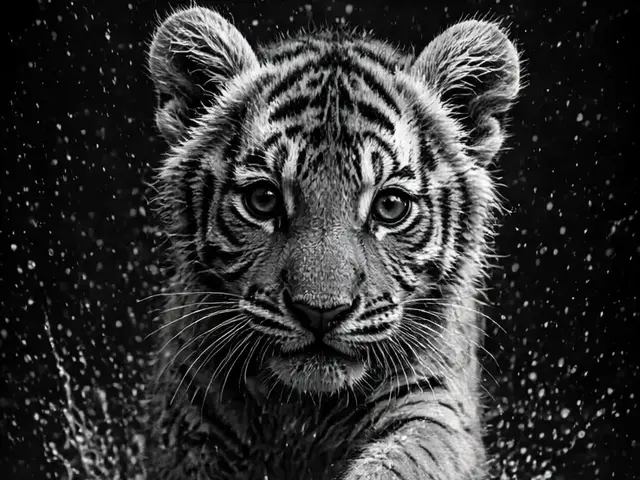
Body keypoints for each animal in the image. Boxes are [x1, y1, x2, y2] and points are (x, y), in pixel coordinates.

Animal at [144, 5, 521, 480]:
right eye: (263, 199)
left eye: (390, 206)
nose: (320, 312)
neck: (304, 411)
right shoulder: (189, 419)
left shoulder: (436, 403)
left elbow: (408, 457)